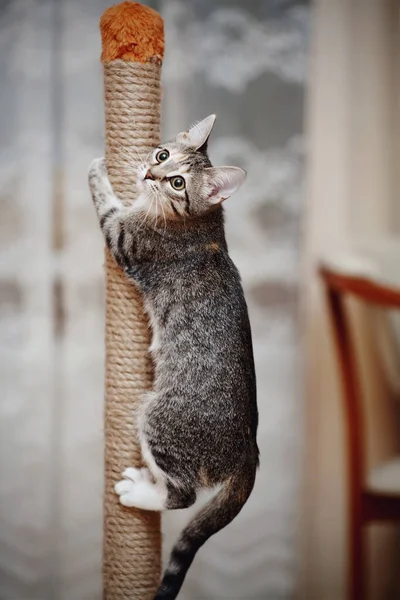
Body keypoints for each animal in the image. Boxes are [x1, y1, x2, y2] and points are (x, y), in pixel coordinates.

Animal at [88, 113, 260, 600]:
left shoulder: (126, 238)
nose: (149, 172)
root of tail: (249, 449)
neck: (206, 221)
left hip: (159, 418)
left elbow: (107, 208)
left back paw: (139, 491)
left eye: (178, 182)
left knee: (182, 496)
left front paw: (97, 169)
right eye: (163, 155)